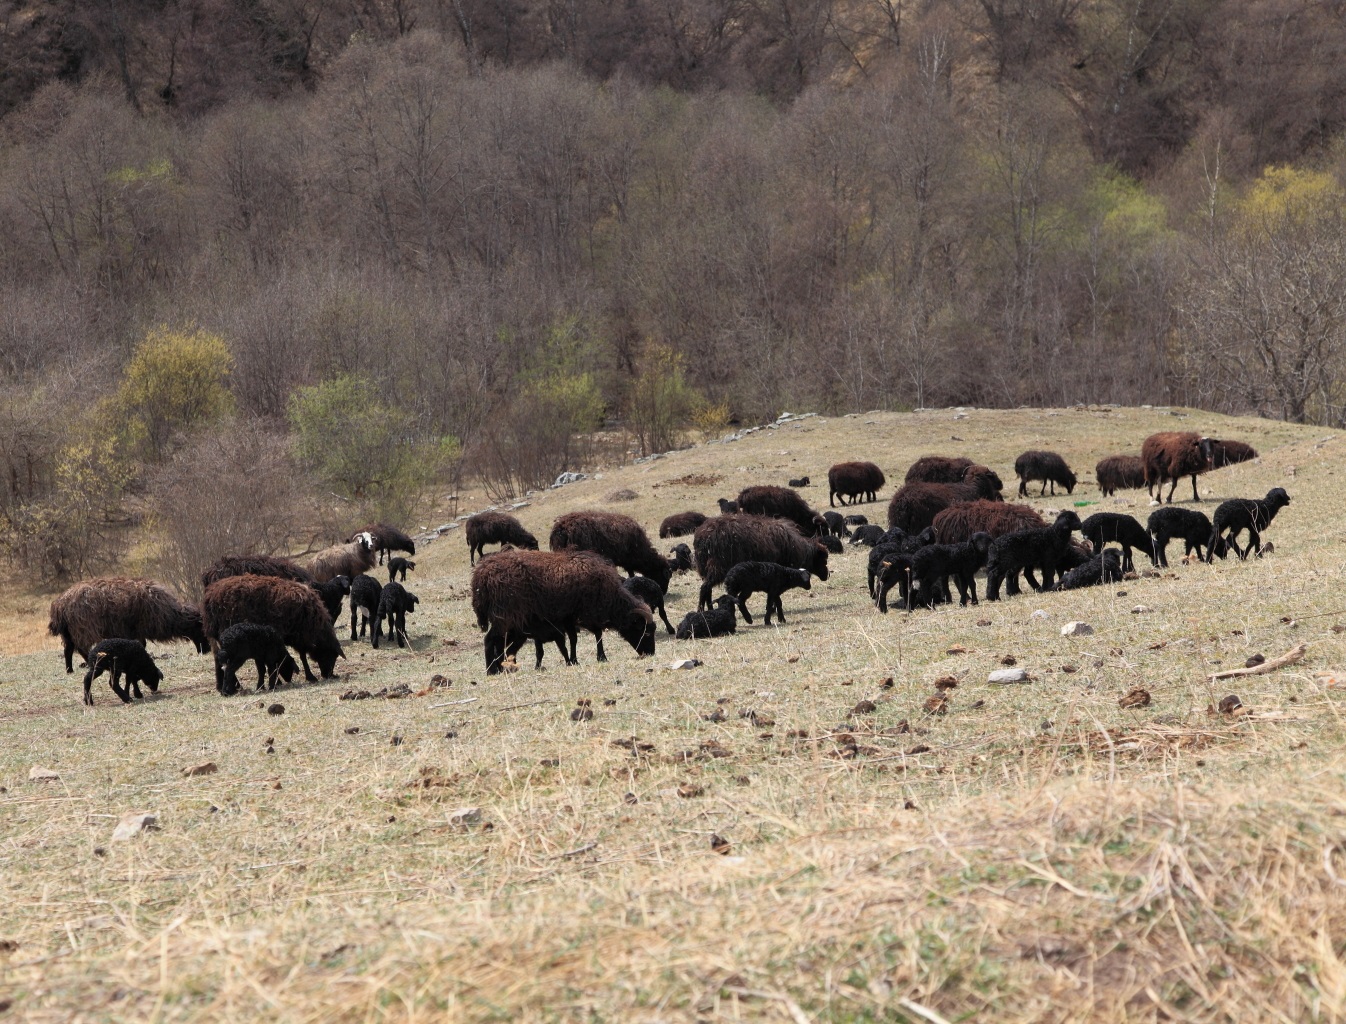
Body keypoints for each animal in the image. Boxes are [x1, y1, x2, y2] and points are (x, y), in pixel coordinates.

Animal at [48, 578, 207, 675]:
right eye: (201, 629)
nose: (205, 651)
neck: (170, 614)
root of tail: (60, 605)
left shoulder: (135, 631)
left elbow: (141, 643)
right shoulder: (137, 629)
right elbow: (141, 644)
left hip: (70, 632)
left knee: (68, 650)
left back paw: (70, 670)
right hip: (83, 629)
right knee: (80, 648)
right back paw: (89, 663)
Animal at [201, 570, 347, 683]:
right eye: (333, 655)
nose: (328, 675)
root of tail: (209, 597)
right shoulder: (298, 636)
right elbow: (302, 657)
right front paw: (310, 676)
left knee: (220, 660)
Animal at [471, 546, 654, 675]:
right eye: (645, 632)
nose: (651, 653)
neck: (611, 598)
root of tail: (481, 576)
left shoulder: (568, 616)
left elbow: (574, 638)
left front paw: (574, 659)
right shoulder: (583, 613)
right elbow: (595, 634)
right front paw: (600, 657)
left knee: (498, 643)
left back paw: (499, 668)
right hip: (505, 615)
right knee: (490, 640)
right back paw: (491, 671)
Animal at [694, 514, 829, 610]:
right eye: (823, 559)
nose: (827, 575)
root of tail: (701, 537)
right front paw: (773, 609)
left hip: (708, 568)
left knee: (708, 589)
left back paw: (709, 609)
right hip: (717, 566)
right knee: (705, 588)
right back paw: (700, 610)